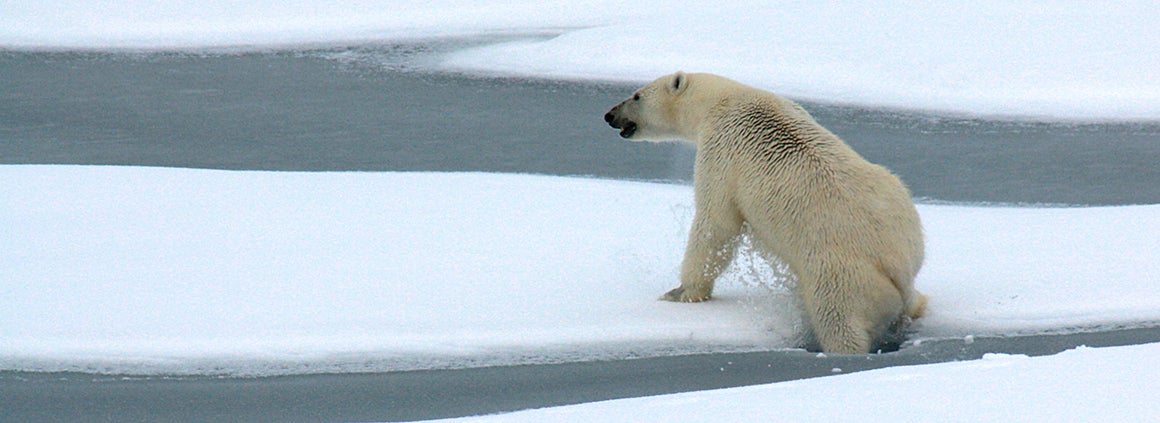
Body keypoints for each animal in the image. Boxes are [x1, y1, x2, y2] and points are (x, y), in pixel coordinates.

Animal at [607, 72, 923, 352]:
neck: (724, 100)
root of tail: (896, 264)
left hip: (841, 275)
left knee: (838, 320)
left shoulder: (721, 151)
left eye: (636, 95)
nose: (609, 115)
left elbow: (716, 225)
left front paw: (681, 292)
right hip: (900, 208)